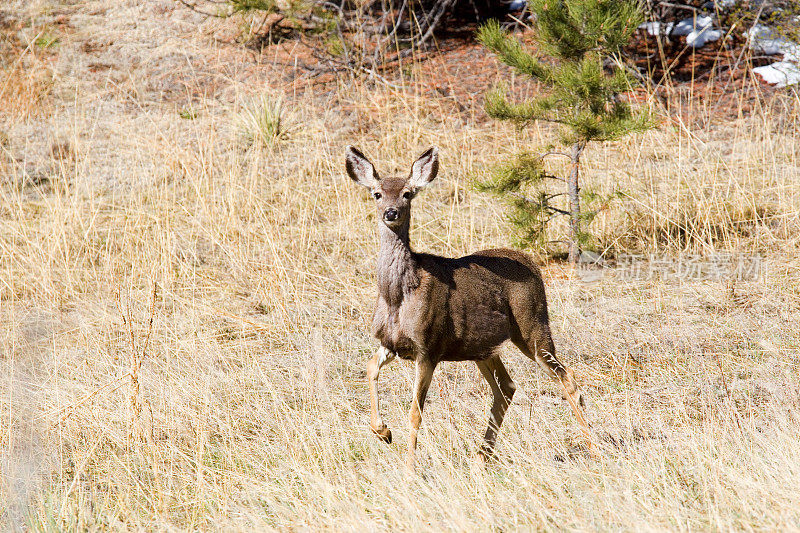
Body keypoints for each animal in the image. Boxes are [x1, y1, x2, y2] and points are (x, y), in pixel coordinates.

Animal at [346, 144, 592, 470]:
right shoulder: (390, 342)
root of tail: (532, 262)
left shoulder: (428, 346)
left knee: (567, 379)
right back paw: (481, 456)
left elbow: (415, 411)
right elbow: (370, 366)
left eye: (407, 193)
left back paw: (594, 447)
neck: (397, 296)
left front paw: (410, 468)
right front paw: (383, 432)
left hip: (533, 324)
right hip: (482, 347)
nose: (391, 212)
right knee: (506, 387)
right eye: (377, 193)